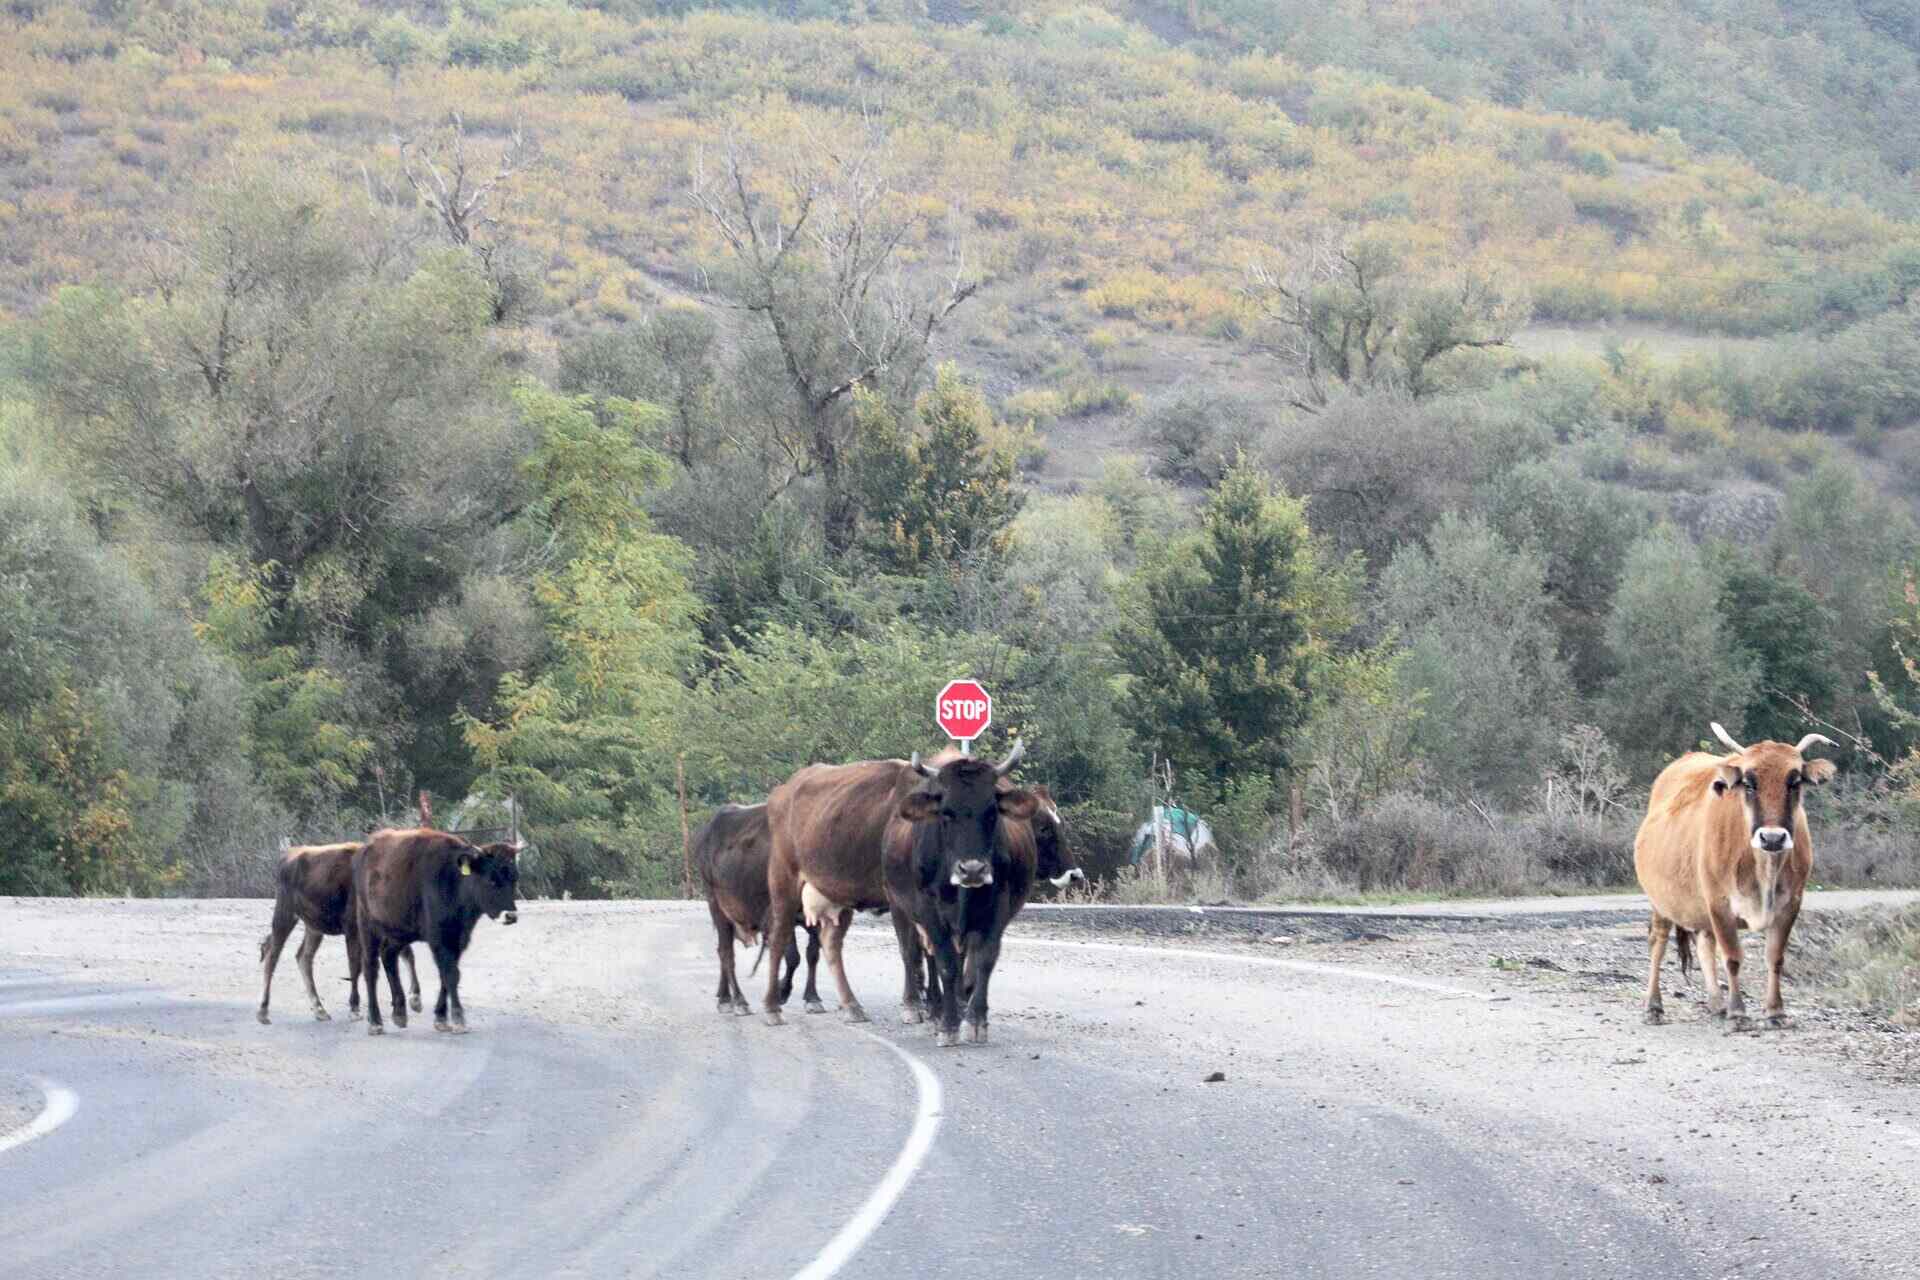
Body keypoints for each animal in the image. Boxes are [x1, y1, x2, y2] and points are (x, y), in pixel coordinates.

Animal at [256, 841, 421, 1024]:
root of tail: (288, 854)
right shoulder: (353, 930)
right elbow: (355, 966)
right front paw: (355, 1008)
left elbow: (407, 955)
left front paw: (415, 1000)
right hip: (285, 914)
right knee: (272, 956)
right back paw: (263, 1011)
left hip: (313, 927)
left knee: (303, 957)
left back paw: (320, 1010)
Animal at [353, 827, 519, 1036]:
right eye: (492, 880)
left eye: (515, 878)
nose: (511, 916)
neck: (454, 881)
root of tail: (367, 848)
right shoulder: (439, 939)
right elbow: (450, 974)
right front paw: (458, 1019)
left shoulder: (458, 939)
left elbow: (446, 975)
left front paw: (441, 1017)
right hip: (368, 923)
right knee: (370, 968)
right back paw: (375, 1021)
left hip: (399, 930)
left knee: (388, 956)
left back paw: (399, 1012)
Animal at [692, 803, 824, 1016]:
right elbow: (792, 957)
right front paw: (781, 992)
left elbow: (812, 954)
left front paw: (812, 997)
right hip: (715, 904)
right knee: (726, 952)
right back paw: (738, 1001)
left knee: (722, 950)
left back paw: (724, 996)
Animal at [883, 741, 1041, 1047]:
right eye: (946, 812)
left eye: (992, 812)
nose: (973, 869)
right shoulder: (929, 909)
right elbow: (945, 964)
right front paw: (948, 1025)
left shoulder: (997, 907)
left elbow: (984, 961)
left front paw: (976, 1021)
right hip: (899, 908)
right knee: (913, 953)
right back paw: (922, 1008)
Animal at [1634, 723, 1837, 1029]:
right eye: (1749, 783)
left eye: (1794, 782)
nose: (1772, 838)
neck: (1764, 869)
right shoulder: (1720, 904)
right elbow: (1732, 957)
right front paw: (1739, 1011)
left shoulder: (1790, 904)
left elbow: (1775, 957)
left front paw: (1775, 1011)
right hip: (1661, 901)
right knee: (1657, 942)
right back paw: (1654, 1006)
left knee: (1704, 944)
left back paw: (1717, 1004)